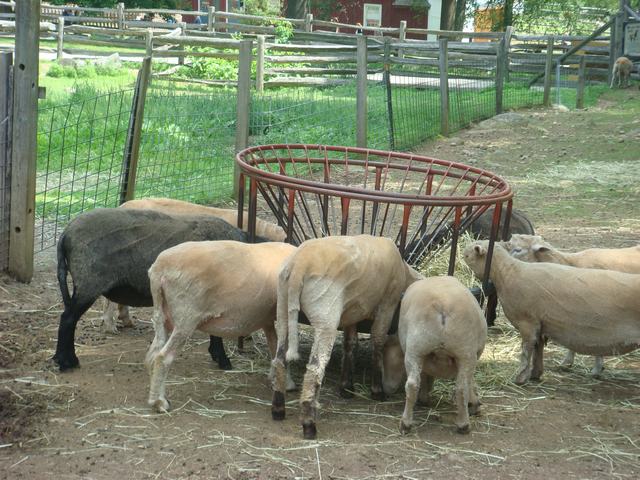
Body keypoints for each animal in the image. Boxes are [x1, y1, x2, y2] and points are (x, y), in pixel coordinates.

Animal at [52, 207, 268, 372]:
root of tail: (65, 234)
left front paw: (217, 356)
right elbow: (216, 333)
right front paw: (223, 361)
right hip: (89, 282)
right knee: (68, 319)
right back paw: (67, 362)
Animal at [272, 234, 424, 440]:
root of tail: (299, 266)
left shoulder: (353, 311)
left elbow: (350, 343)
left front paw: (346, 387)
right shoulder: (388, 303)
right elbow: (378, 339)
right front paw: (377, 390)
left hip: (283, 305)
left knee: (279, 359)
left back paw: (278, 408)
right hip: (325, 314)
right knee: (314, 369)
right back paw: (309, 424)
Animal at [380, 274, 484, 436]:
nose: (386, 388)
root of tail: (443, 305)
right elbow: (470, 381)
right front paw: (475, 403)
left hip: (418, 349)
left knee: (414, 384)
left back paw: (406, 423)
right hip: (464, 352)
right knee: (461, 387)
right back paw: (463, 424)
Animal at [462, 242, 640, 384]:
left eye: (467, 255)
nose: (463, 256)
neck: (507, 273)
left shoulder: (528, 322)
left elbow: (526, 350)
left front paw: (520, 378)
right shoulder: (540, 323)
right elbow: (538, 349)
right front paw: (535, 374)